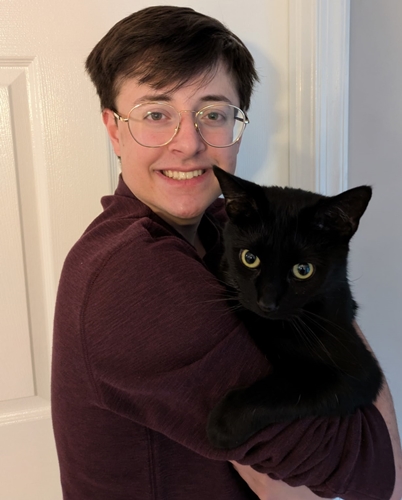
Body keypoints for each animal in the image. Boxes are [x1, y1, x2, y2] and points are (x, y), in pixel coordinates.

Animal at [207, 166, 384, 450]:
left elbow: (291, 388)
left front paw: (225, 423)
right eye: (249, 258)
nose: (267, 303)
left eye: (303, 270)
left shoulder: (360, 374)